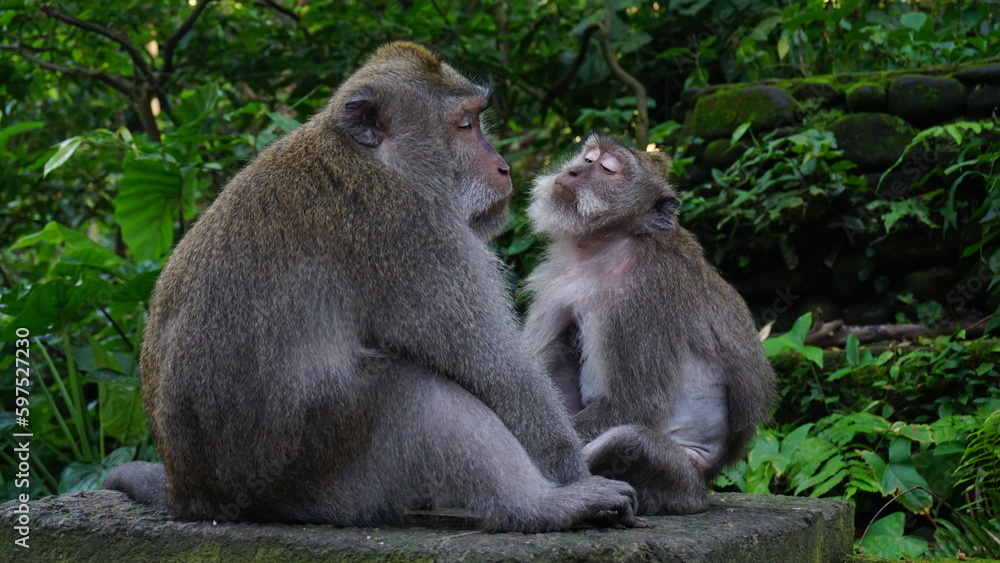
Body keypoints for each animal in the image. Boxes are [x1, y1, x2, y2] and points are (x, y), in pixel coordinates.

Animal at [103, 44, 640, 532]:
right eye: (465, 125)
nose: (504, 166)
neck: (376, 160)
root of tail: (191, 494)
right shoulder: (413, 232)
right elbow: (500, 375)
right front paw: (572, 476)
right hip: (317, 476)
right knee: (414, 393)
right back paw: (538, 507)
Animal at [524, 134, 780, 512]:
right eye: (588, 158)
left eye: (607, 169)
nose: (573, 172)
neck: (606, 245)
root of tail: (702, 490)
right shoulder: (558, 280)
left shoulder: (642, 293)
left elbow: (634, 404)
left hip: (676, 481)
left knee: (629, 440)